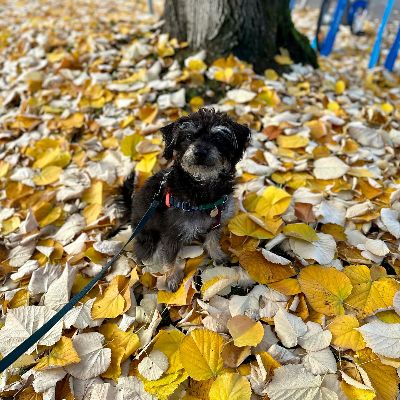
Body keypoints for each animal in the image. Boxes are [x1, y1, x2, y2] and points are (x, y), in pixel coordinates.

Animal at [122, 109, 252, 290]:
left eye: (218, 138)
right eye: (189, 136)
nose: (200, 152)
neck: (202, 189)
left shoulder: (216, 222)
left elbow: (212, 241)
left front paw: (217, 255)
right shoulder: (171, 232)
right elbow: (169, 258)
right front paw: (172, 278)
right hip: (149, 241)